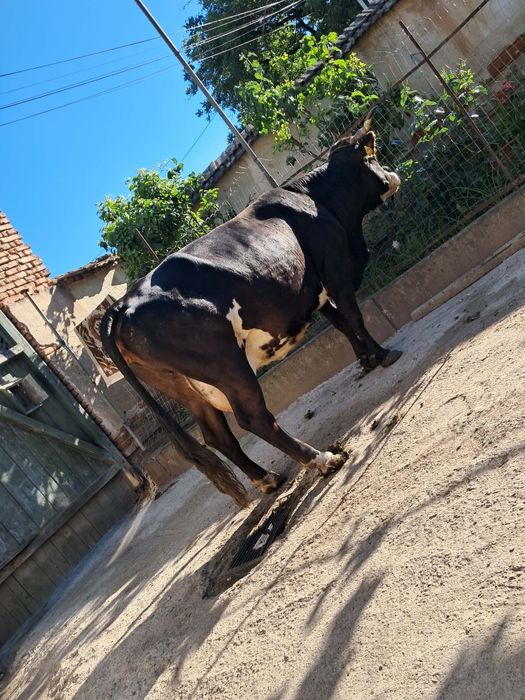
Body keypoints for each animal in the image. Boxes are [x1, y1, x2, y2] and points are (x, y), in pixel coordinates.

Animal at [100, 119, 402, 508]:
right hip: (227, 366)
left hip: (184, 385)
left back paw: (269, 479)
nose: (392, 173)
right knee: (252, 418)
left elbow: (341, 324)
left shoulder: (312, 293)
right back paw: (322, 459)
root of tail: (124, 302)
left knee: (217, 435)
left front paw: (365, 359)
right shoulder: (336, 270)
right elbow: (354, 316)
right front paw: (382, 354)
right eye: (372, 157)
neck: (317, 199)